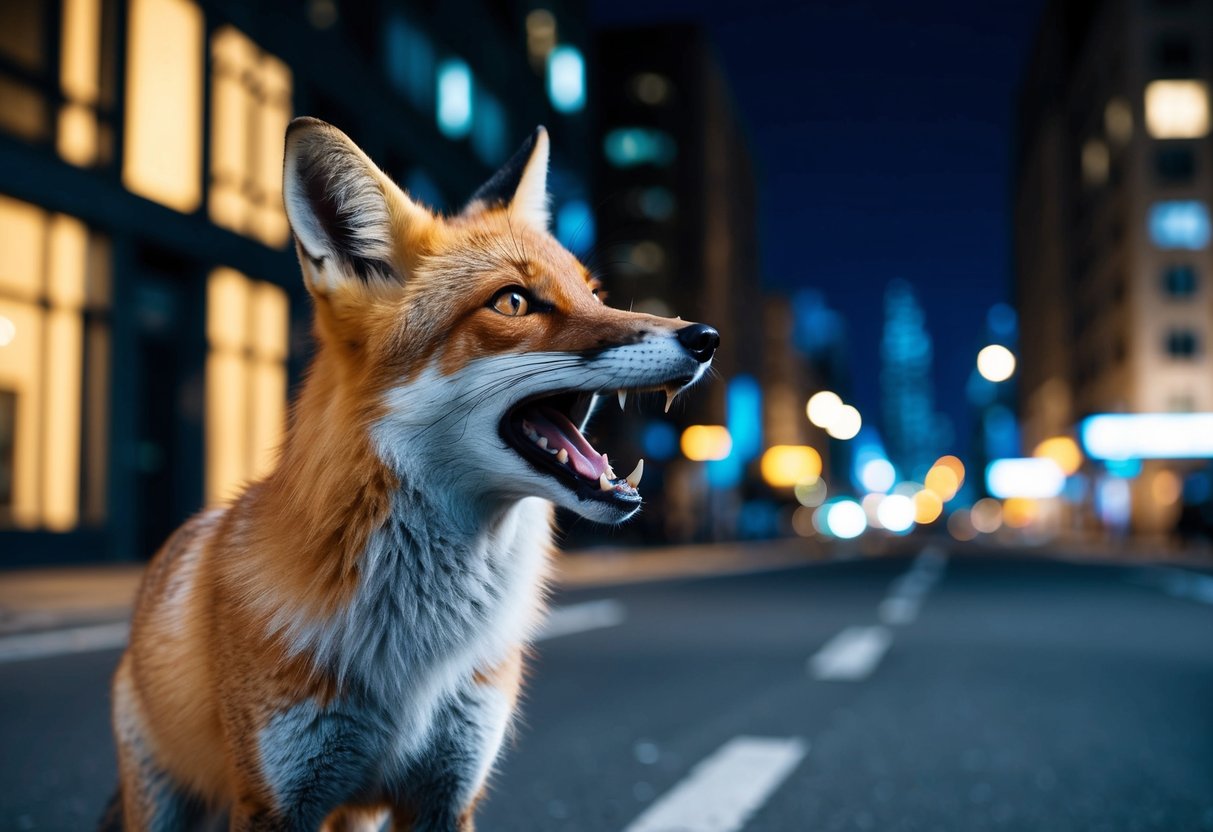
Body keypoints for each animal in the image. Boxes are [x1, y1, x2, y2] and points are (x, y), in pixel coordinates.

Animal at [104, 117, 719, 831]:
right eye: (514, 302)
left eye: (593, 294)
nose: (705, 338)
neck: (415, 656)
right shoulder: (278, 797)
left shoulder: (447, 790)